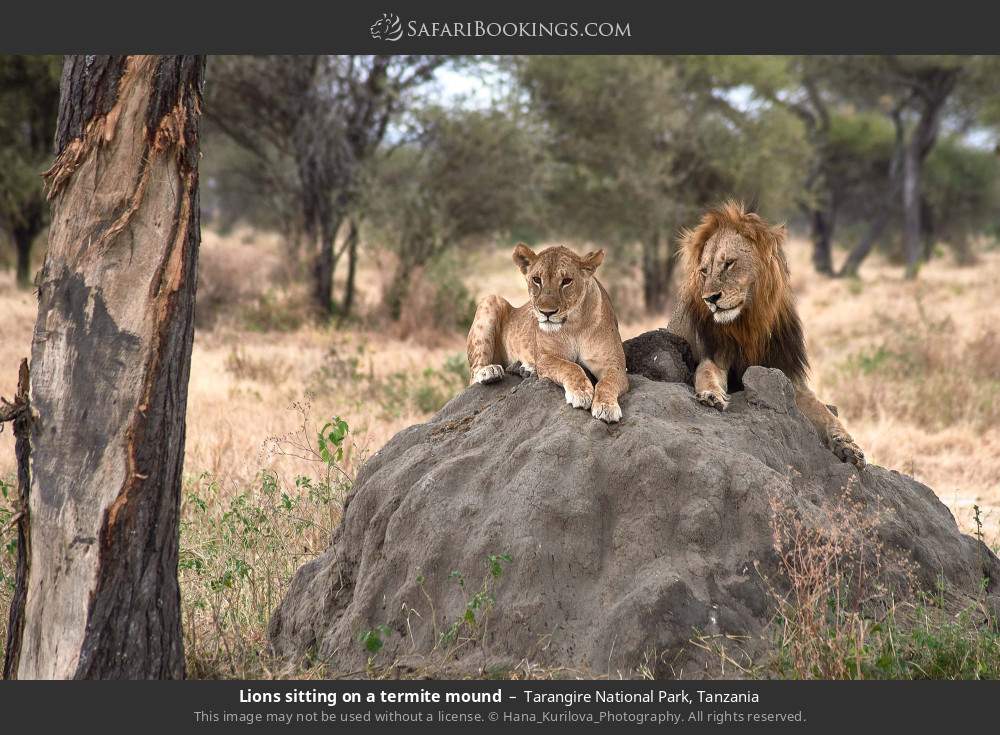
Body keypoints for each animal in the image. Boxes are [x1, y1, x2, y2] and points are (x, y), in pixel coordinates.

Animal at [466, 244, 624, 422]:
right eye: (536, 279)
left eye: (567, 281)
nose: (546, 312)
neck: (574, 325)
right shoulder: (545, 357)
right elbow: (570, 366)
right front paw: (581, 393)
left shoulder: (614, 364)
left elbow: (607, 383)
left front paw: (606, 407)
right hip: (491, 299)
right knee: (473, 375)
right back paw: (489, 371)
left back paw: (527, 369)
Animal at [672, 201, 868, 466]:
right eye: (704, 271)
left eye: (729, 263)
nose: (710, 299)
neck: (750, 321)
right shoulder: (716, 354)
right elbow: (706, 372)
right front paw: (711, 395)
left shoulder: (786, 373)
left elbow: (824, 411)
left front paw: (848, 444)